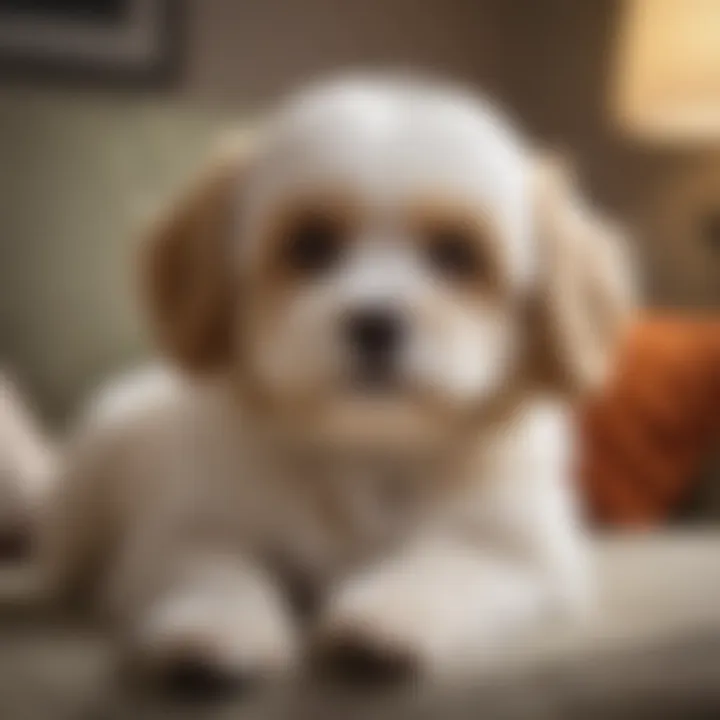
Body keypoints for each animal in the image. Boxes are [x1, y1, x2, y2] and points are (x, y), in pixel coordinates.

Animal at [40, 76, 636, 688]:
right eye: (311, 245)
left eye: (454, 253)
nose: (375, 323)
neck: (364, 449)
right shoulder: (187, 531)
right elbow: (218, 573)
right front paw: (217, 630)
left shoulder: (516, 548)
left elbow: (443, 566)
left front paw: (385, 619)